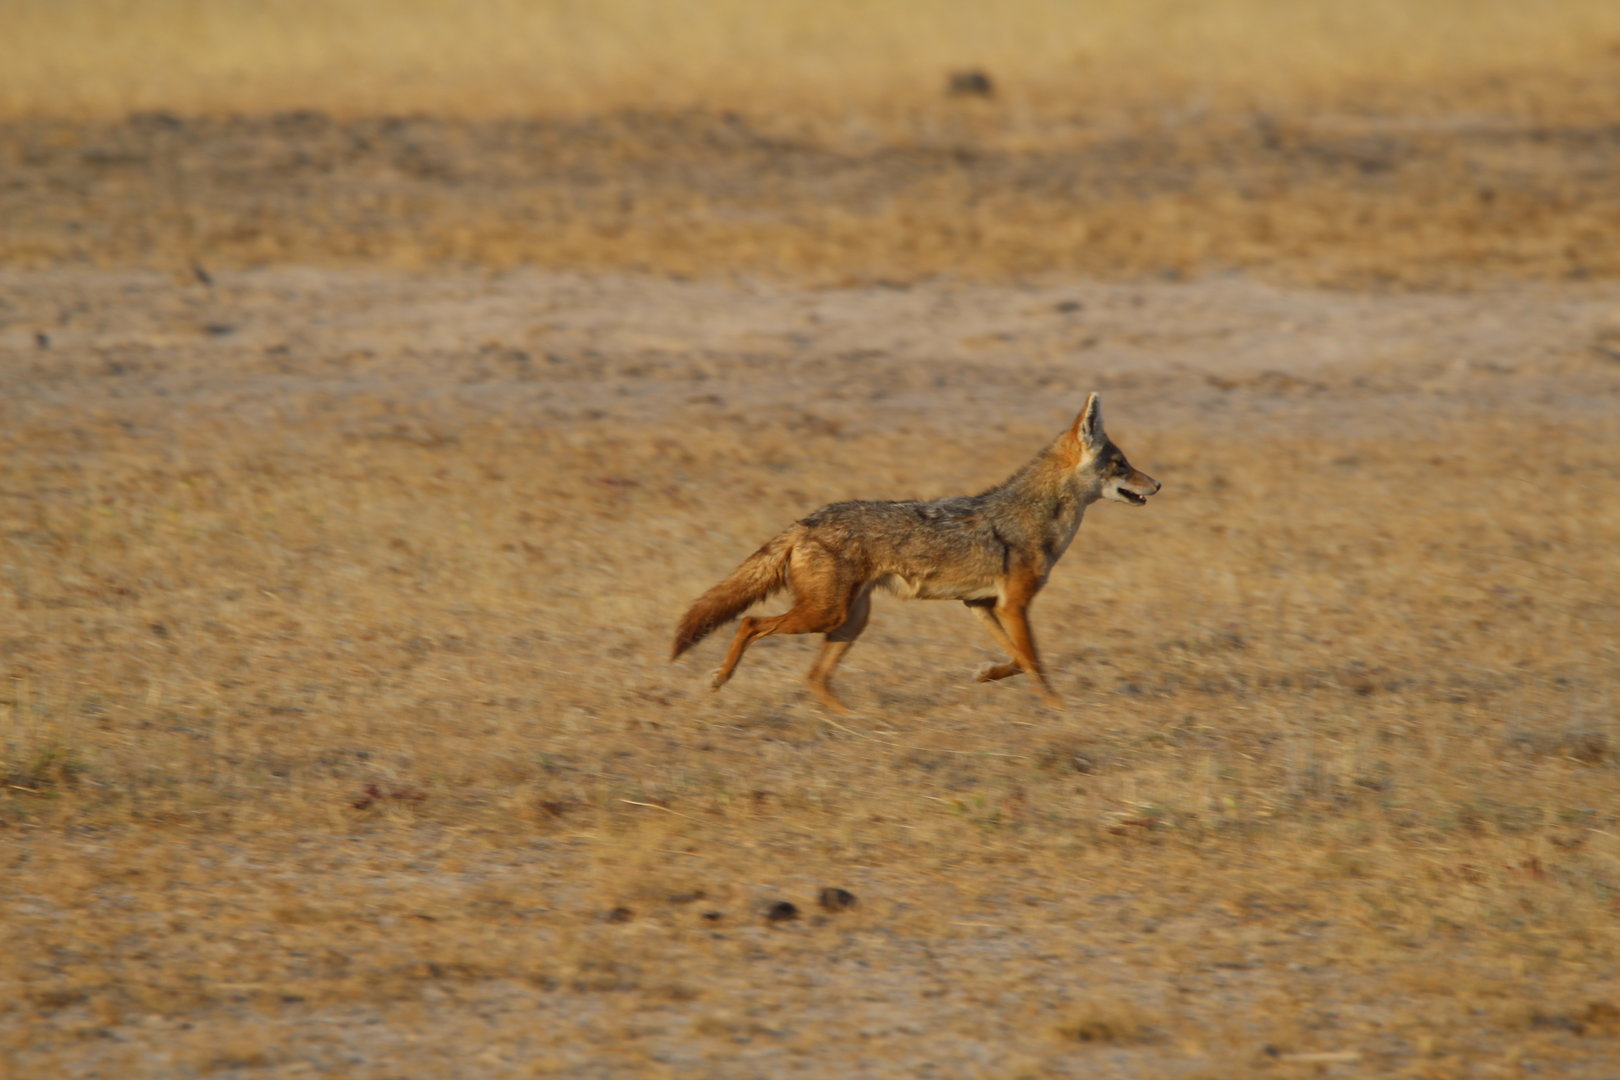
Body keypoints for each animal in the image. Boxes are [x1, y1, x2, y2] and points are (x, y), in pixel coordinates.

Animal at [671, 393, 1160, 712]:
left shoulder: (982, 605)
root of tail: (804, 521)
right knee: (750, 623)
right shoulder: (1014, 605)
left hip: (849, 621)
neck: (1037, 517)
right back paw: (721, 679)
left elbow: (1020, 661)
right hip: (826, 615)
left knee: (814, 678)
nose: (1156, 484)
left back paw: (857, 724)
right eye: (1121, 464)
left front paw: (988, 674)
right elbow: (1036, 663)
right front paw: (1060, 710)